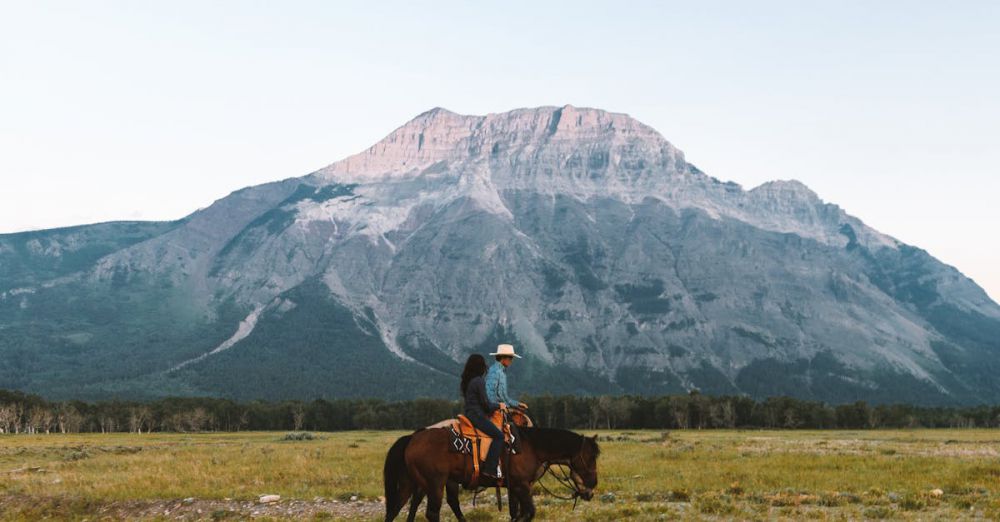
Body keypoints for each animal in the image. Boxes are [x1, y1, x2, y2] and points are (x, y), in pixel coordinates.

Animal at [386, 424, 596, 516]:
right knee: (431, 513)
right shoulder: (521, 486)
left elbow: (516, 513)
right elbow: (528, 512)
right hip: (435, 483)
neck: (531, 446)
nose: (593, 486)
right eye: (589, 458)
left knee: (396, 509)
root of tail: (413, 437)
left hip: (413, 483)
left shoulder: (515, 488)